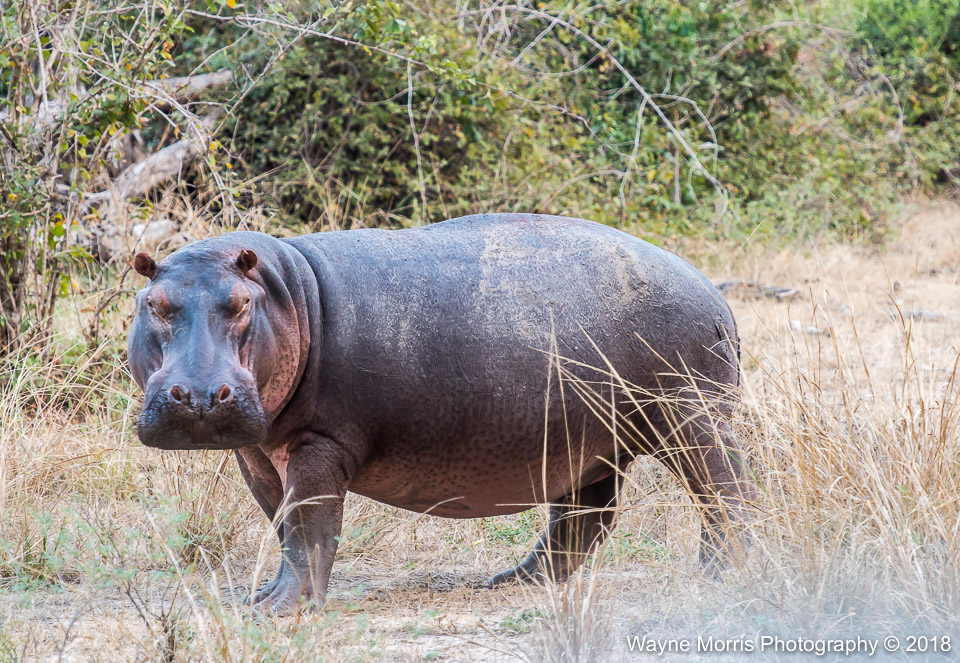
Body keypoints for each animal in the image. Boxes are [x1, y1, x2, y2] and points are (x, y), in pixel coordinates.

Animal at [128, 213, 755, 614]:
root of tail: (714, 293)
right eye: (152, 303)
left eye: (239, 303)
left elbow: (309, 527)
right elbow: (283, 525)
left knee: (725, 489)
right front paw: (259, 597)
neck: (288, 295)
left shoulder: (320, 441)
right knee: (584, 516)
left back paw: (721, 572)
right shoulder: (257, 451)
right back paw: (508, 582)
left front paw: (276, 612)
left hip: (692, 416)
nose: (198, 395)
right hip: (588, 438)